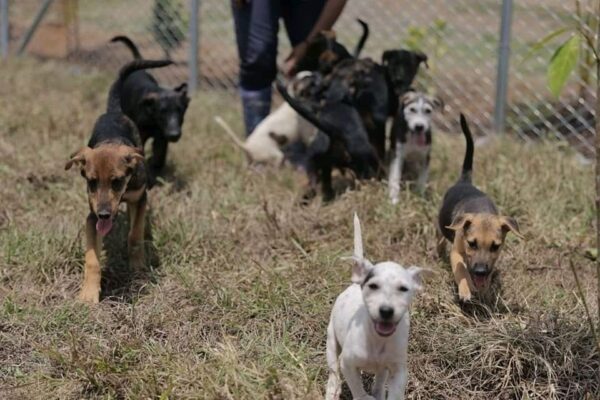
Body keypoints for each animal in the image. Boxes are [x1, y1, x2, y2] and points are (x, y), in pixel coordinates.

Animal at [66, 58, 172, 304]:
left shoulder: (140, 199)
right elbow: (92, 260)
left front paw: (138, 268)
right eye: (92, 182)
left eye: (117, 181)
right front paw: (89, 293)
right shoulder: (91, 217)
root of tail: (113, 111)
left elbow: (135, 235)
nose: (104, 215)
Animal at [110, 35, 189, 182]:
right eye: (162, 111)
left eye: (180, 110)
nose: (174, 135)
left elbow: (159, 157)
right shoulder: (141, 134)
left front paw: (155, 167)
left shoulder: (162, 137)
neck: (152, 118)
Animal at [324, 214, 426, 398]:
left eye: (403, 289)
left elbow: (394, 392)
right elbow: (357, 389)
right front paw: (364, 397)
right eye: (373, 286)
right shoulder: (347, 364)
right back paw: (332, 390)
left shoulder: (398, 369)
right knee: (333, 371)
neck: (378, 340)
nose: (386, 311)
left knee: (379, 381)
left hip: (383, 369)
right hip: (331, 341)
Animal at [436, 114, 524, 302]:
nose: (480, 271)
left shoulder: (492, 260)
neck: (482, 211)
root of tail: (465, 181)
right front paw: (466, 289)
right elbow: (461, 269)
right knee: (440, 238)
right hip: (440, 226)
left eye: (495, 246)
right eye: (472, 243)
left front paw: (483, 290)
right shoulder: (456, 252)